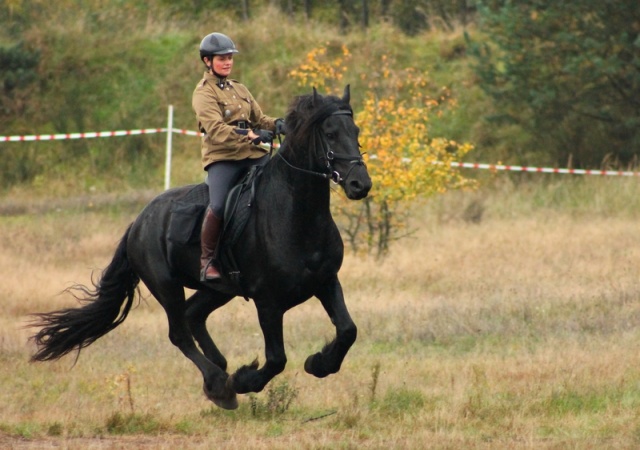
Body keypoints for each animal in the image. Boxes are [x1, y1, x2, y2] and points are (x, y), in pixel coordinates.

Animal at [28, 85, 370, 412]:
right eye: (330, 134)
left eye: (355, 131)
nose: (360, 185)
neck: (295, 214)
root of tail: (139, 222)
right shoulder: (268, 302)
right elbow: (276, 359)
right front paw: (244, 380)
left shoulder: (326, 282)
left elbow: (348, 330)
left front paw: (319, 363)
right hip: (166, 287)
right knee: (179, 333)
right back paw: (220, 384)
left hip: (218, 289)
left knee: (193, 315)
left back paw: (218, 369)